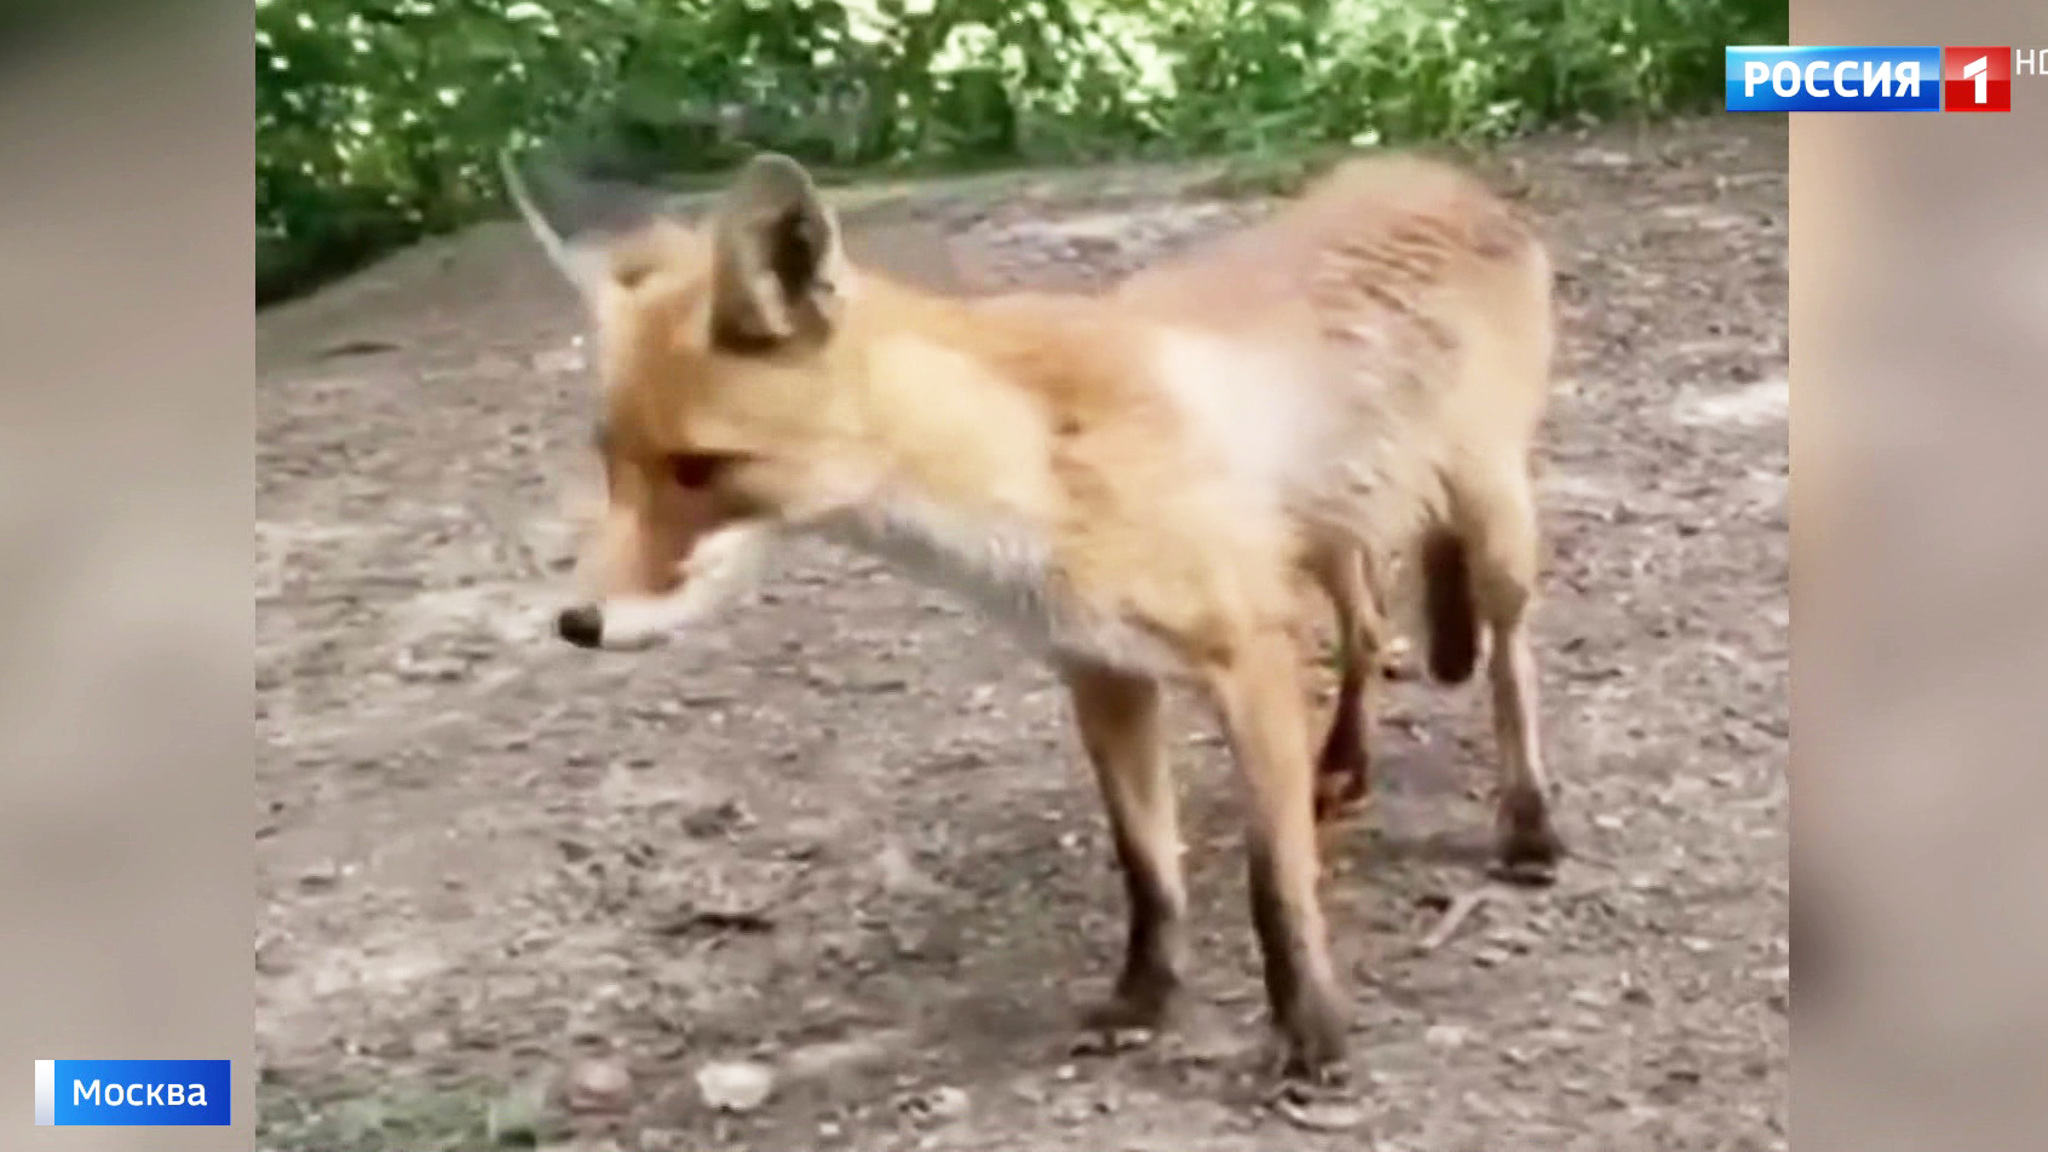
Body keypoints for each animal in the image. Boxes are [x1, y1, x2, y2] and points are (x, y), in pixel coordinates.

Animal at [501, 145, 1564, 1076]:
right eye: (612, 464)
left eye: (700, 468)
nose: (578, 624)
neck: (1030, 470)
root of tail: (1440, 172)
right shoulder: (1101, 672)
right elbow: (1148, 871)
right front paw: (1145, 999)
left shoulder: (1246, 653)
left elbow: (1276, 888)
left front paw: (1310, 1031)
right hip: (1328, 537)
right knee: (1368, 628)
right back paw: (1343, 761)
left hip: (1491, 522)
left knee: (1509, 660)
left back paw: (1527, 823)